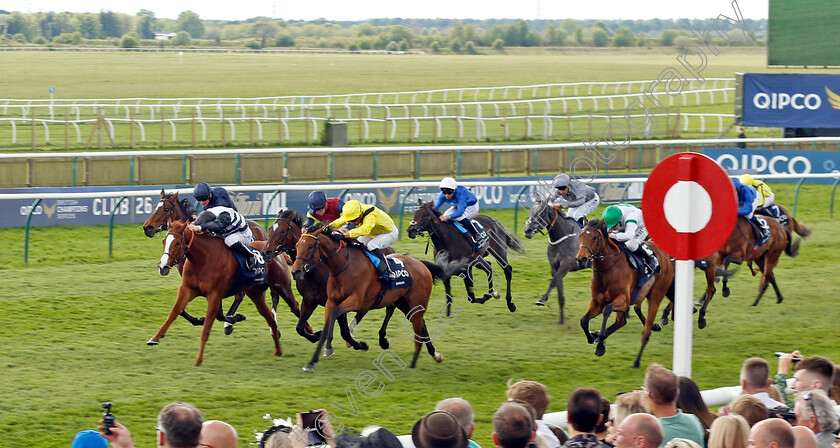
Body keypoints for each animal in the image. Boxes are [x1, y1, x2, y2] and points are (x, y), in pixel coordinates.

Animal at [142, 189, 270, 332]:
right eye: (154, 208)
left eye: (166, 209)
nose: (147, 228)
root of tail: (261, 229)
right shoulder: (189, 283)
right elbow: (181, 310)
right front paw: (199, 320)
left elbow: (218, 311)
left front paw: (224, 319)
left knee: (240, 295)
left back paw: (229, 324)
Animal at [152, 219, 302, 366]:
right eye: (164, 241)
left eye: (177, 243)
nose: (162, 266)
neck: (203, 259)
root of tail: (272, 250)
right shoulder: (187, 289)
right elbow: (175, 312)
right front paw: (155, 338)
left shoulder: (214, 295)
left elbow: (207, 327)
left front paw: (198, 359)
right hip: (256, 293)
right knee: (270, 319)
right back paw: (278, 350)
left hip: (282, 287)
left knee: (294, 306)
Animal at [262, 209, 394, 354]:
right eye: (270, 229)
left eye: (283, 230)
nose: (266, 252)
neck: (317, 270)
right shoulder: (310, 299)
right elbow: (300, 328)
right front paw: (317, 335)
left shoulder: (338, 300)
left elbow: (344, 331)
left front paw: (359, 344)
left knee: (388, 307)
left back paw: (381, 339)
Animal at [294, 223, 452, 372]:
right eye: (297, 245)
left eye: (310, 246)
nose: (296, 271)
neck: (344, 266)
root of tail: (420, 263)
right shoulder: (330, 301)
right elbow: (326, 326)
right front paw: (311, 362)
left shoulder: (355, 301)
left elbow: (337, 319)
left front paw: (335, 346)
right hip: (403, 302)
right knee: (421, 324)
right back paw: (435, 354)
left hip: (417, 302)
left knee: (418, 325)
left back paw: (416, 359)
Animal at [576, 219, 672, 370]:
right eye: (580, 236)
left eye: (594, 237)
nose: (581, 259)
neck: (607, 269)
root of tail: (665, 256)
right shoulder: (597, 301)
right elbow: (584, 321)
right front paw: (592, 337)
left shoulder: (623, 300)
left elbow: (607, 310)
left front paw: (600, 345)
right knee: (623, 320)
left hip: (656, 295)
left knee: (646, 331)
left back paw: (637, 361)